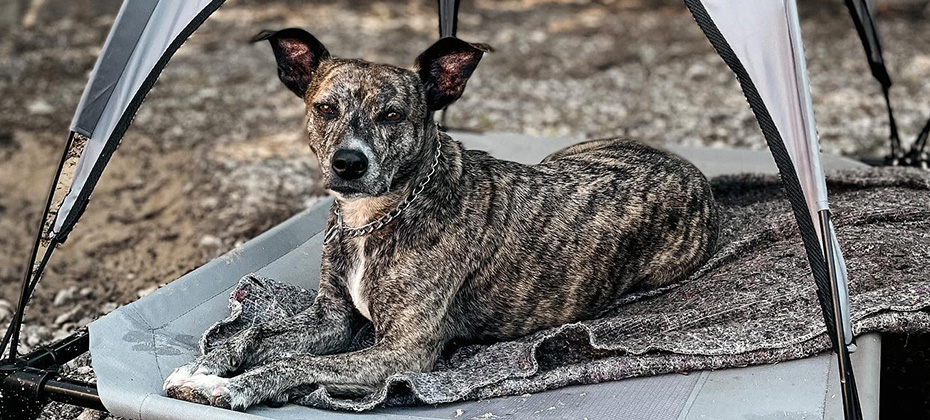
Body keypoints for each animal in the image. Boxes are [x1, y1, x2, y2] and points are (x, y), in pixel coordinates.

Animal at [165, 28, 716, 410]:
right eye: (325, 108)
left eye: (392, 115)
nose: (348, 163)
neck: (377, 216)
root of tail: (689, 167)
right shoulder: (332, 316)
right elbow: (258, 335)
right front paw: (205, 366)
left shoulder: (401, 352)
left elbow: (295, 361)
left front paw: (236, 385)